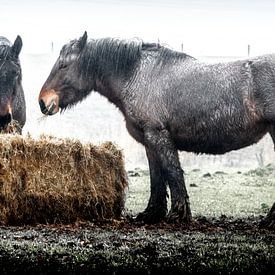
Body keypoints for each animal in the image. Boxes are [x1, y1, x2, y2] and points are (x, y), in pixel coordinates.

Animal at [38, 32, 275, 226]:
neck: (138, 75)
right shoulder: (149, 141)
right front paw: (152, 213)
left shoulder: (158, 135)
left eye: (64, 65)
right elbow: (157, 177)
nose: (43, 102)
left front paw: (178, 215)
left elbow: (172, 172)